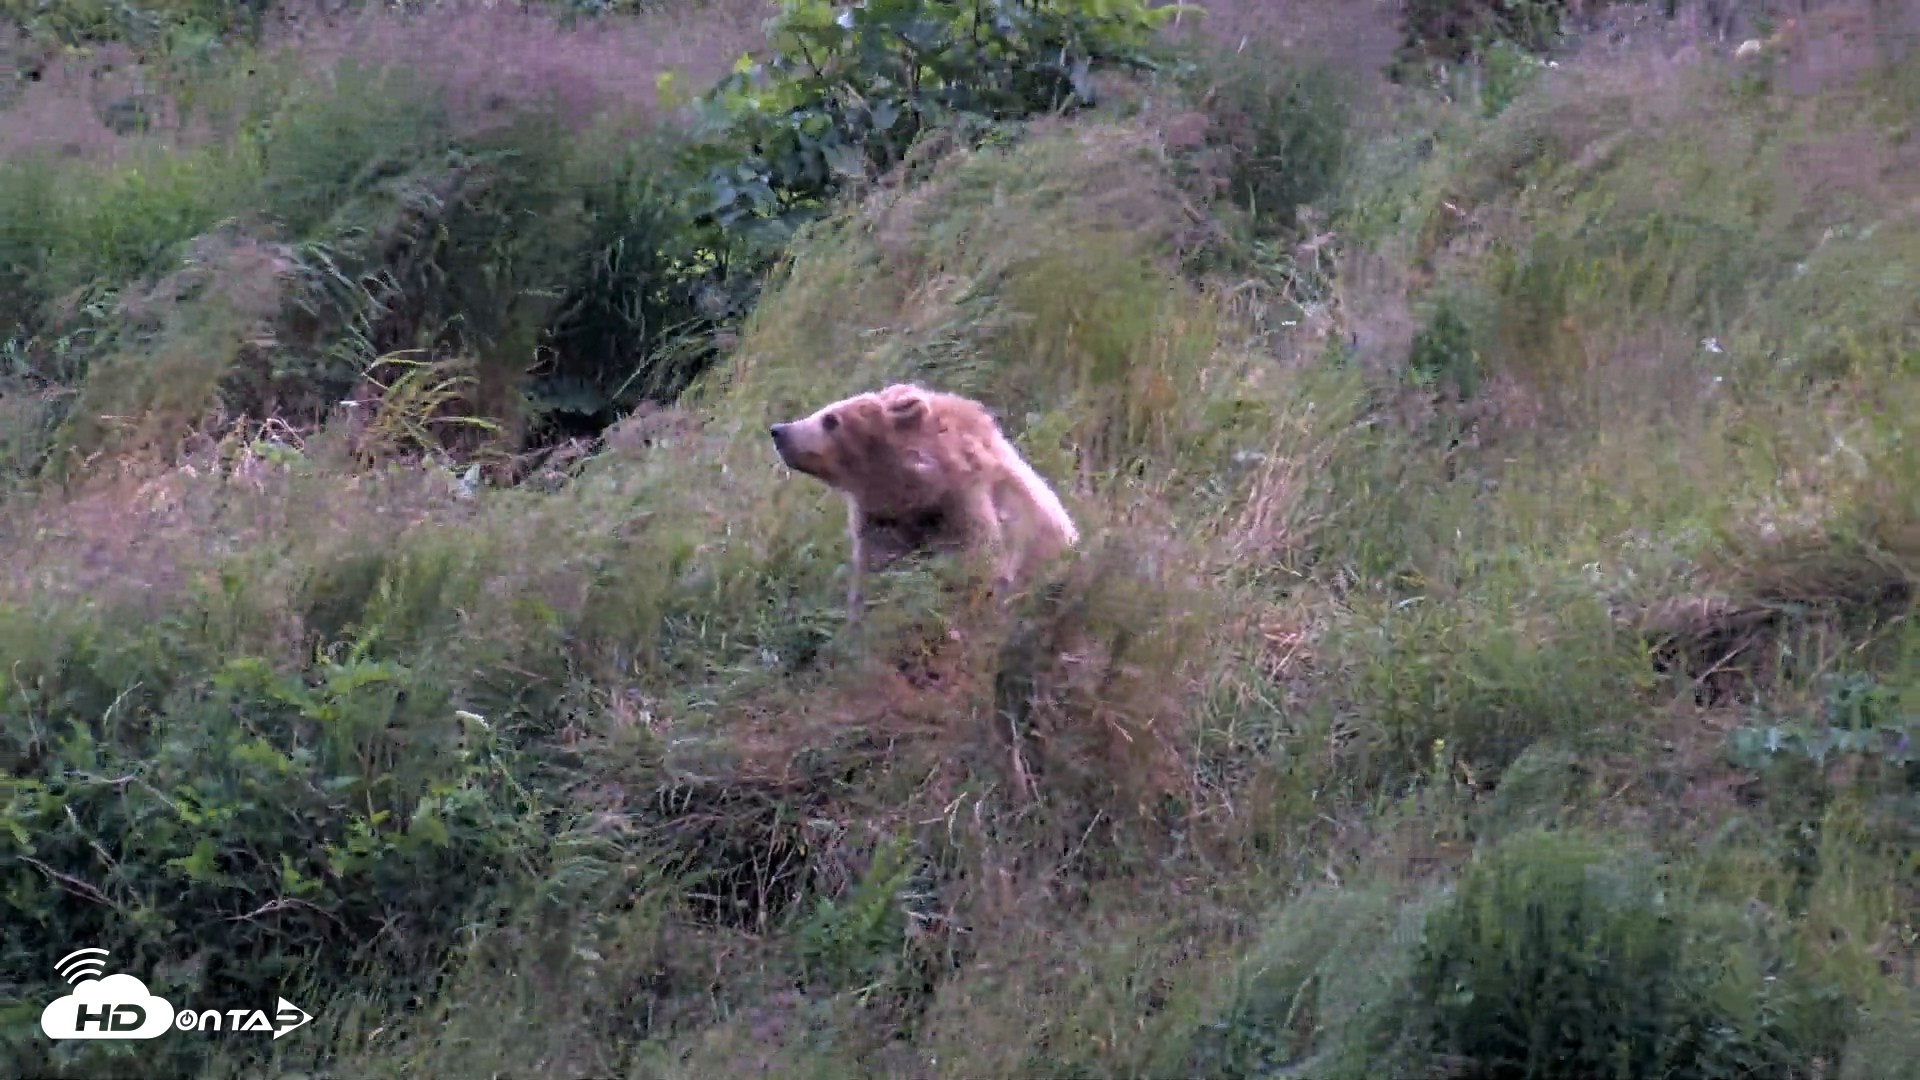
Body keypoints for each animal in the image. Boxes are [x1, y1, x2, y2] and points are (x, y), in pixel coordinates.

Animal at [768, 382, 1080, 621]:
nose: (779, 430)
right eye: (825, 411)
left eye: (831, 419)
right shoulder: (882, 524)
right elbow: (873, 576)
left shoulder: (967, 509)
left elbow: (972, 569)